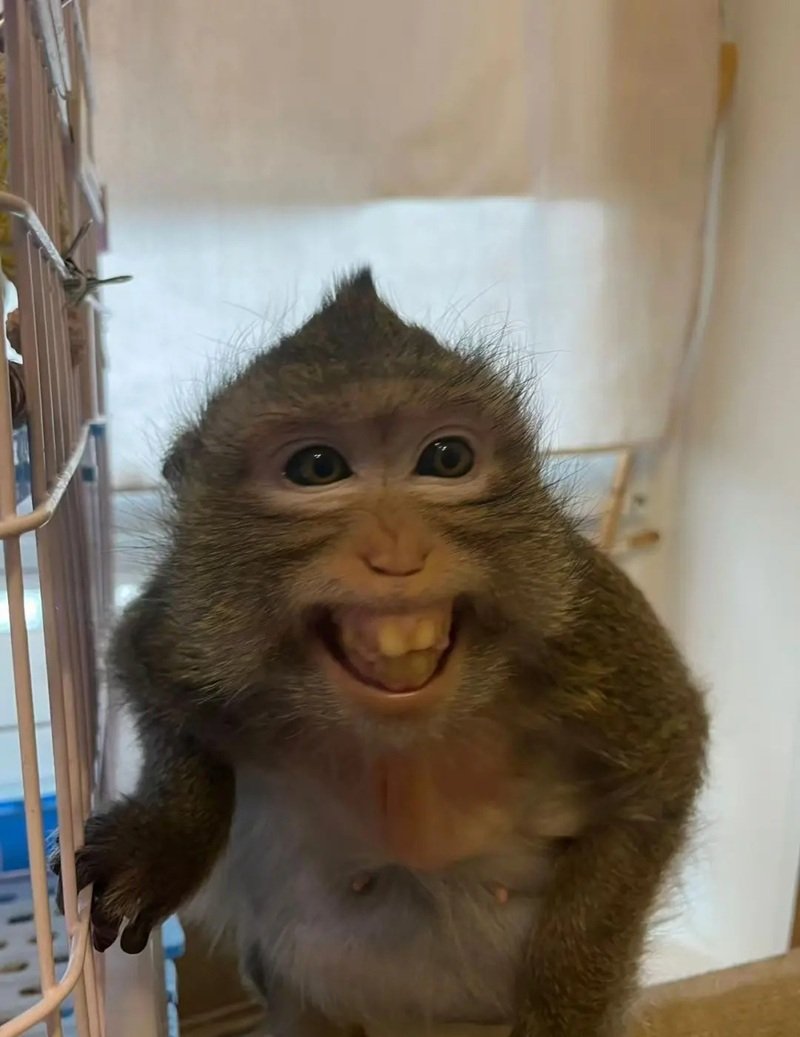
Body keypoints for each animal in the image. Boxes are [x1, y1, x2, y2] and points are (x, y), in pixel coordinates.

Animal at [53, 269, 708, 1037]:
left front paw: (563, 1006)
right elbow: (141, 661)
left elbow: (661, 772)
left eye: (447, 459)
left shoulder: (582, 621)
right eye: (317, 467)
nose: (397, 551)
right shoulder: (190, 619)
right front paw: (170, 835)